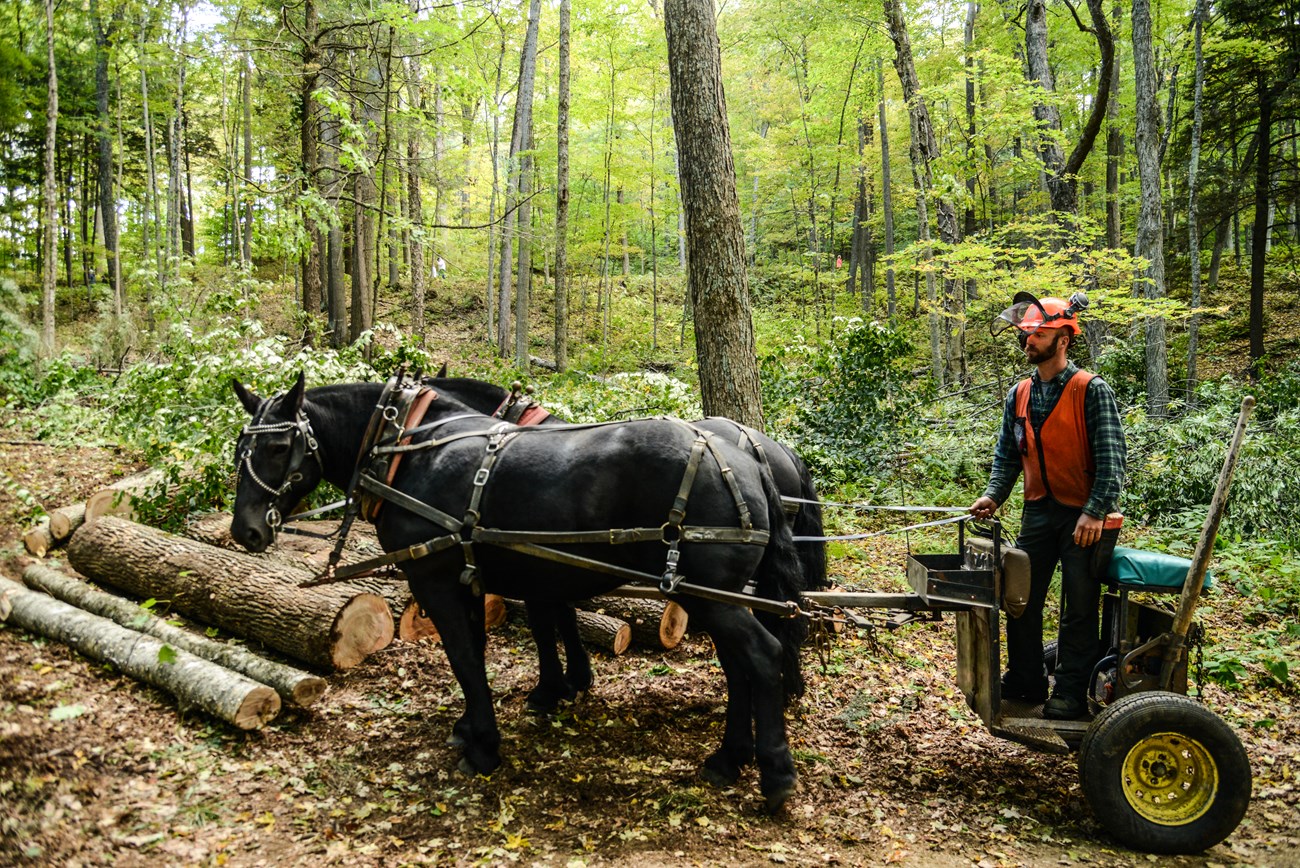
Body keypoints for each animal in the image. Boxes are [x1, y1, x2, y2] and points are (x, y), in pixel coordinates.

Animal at [229, 373, 806, 812]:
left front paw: (485, 745)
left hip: (711, 595)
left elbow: (467, 656)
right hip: (714, 596)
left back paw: (775, 774)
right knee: (739, 666)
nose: (245, 531)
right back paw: (729, 759)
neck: (407, 452)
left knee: (762, 655)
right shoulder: (478, 579)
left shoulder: (435, 580)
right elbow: (490, 647)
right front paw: (480, 721)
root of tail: (749, 460)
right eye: (240, 449)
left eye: (278, 446)